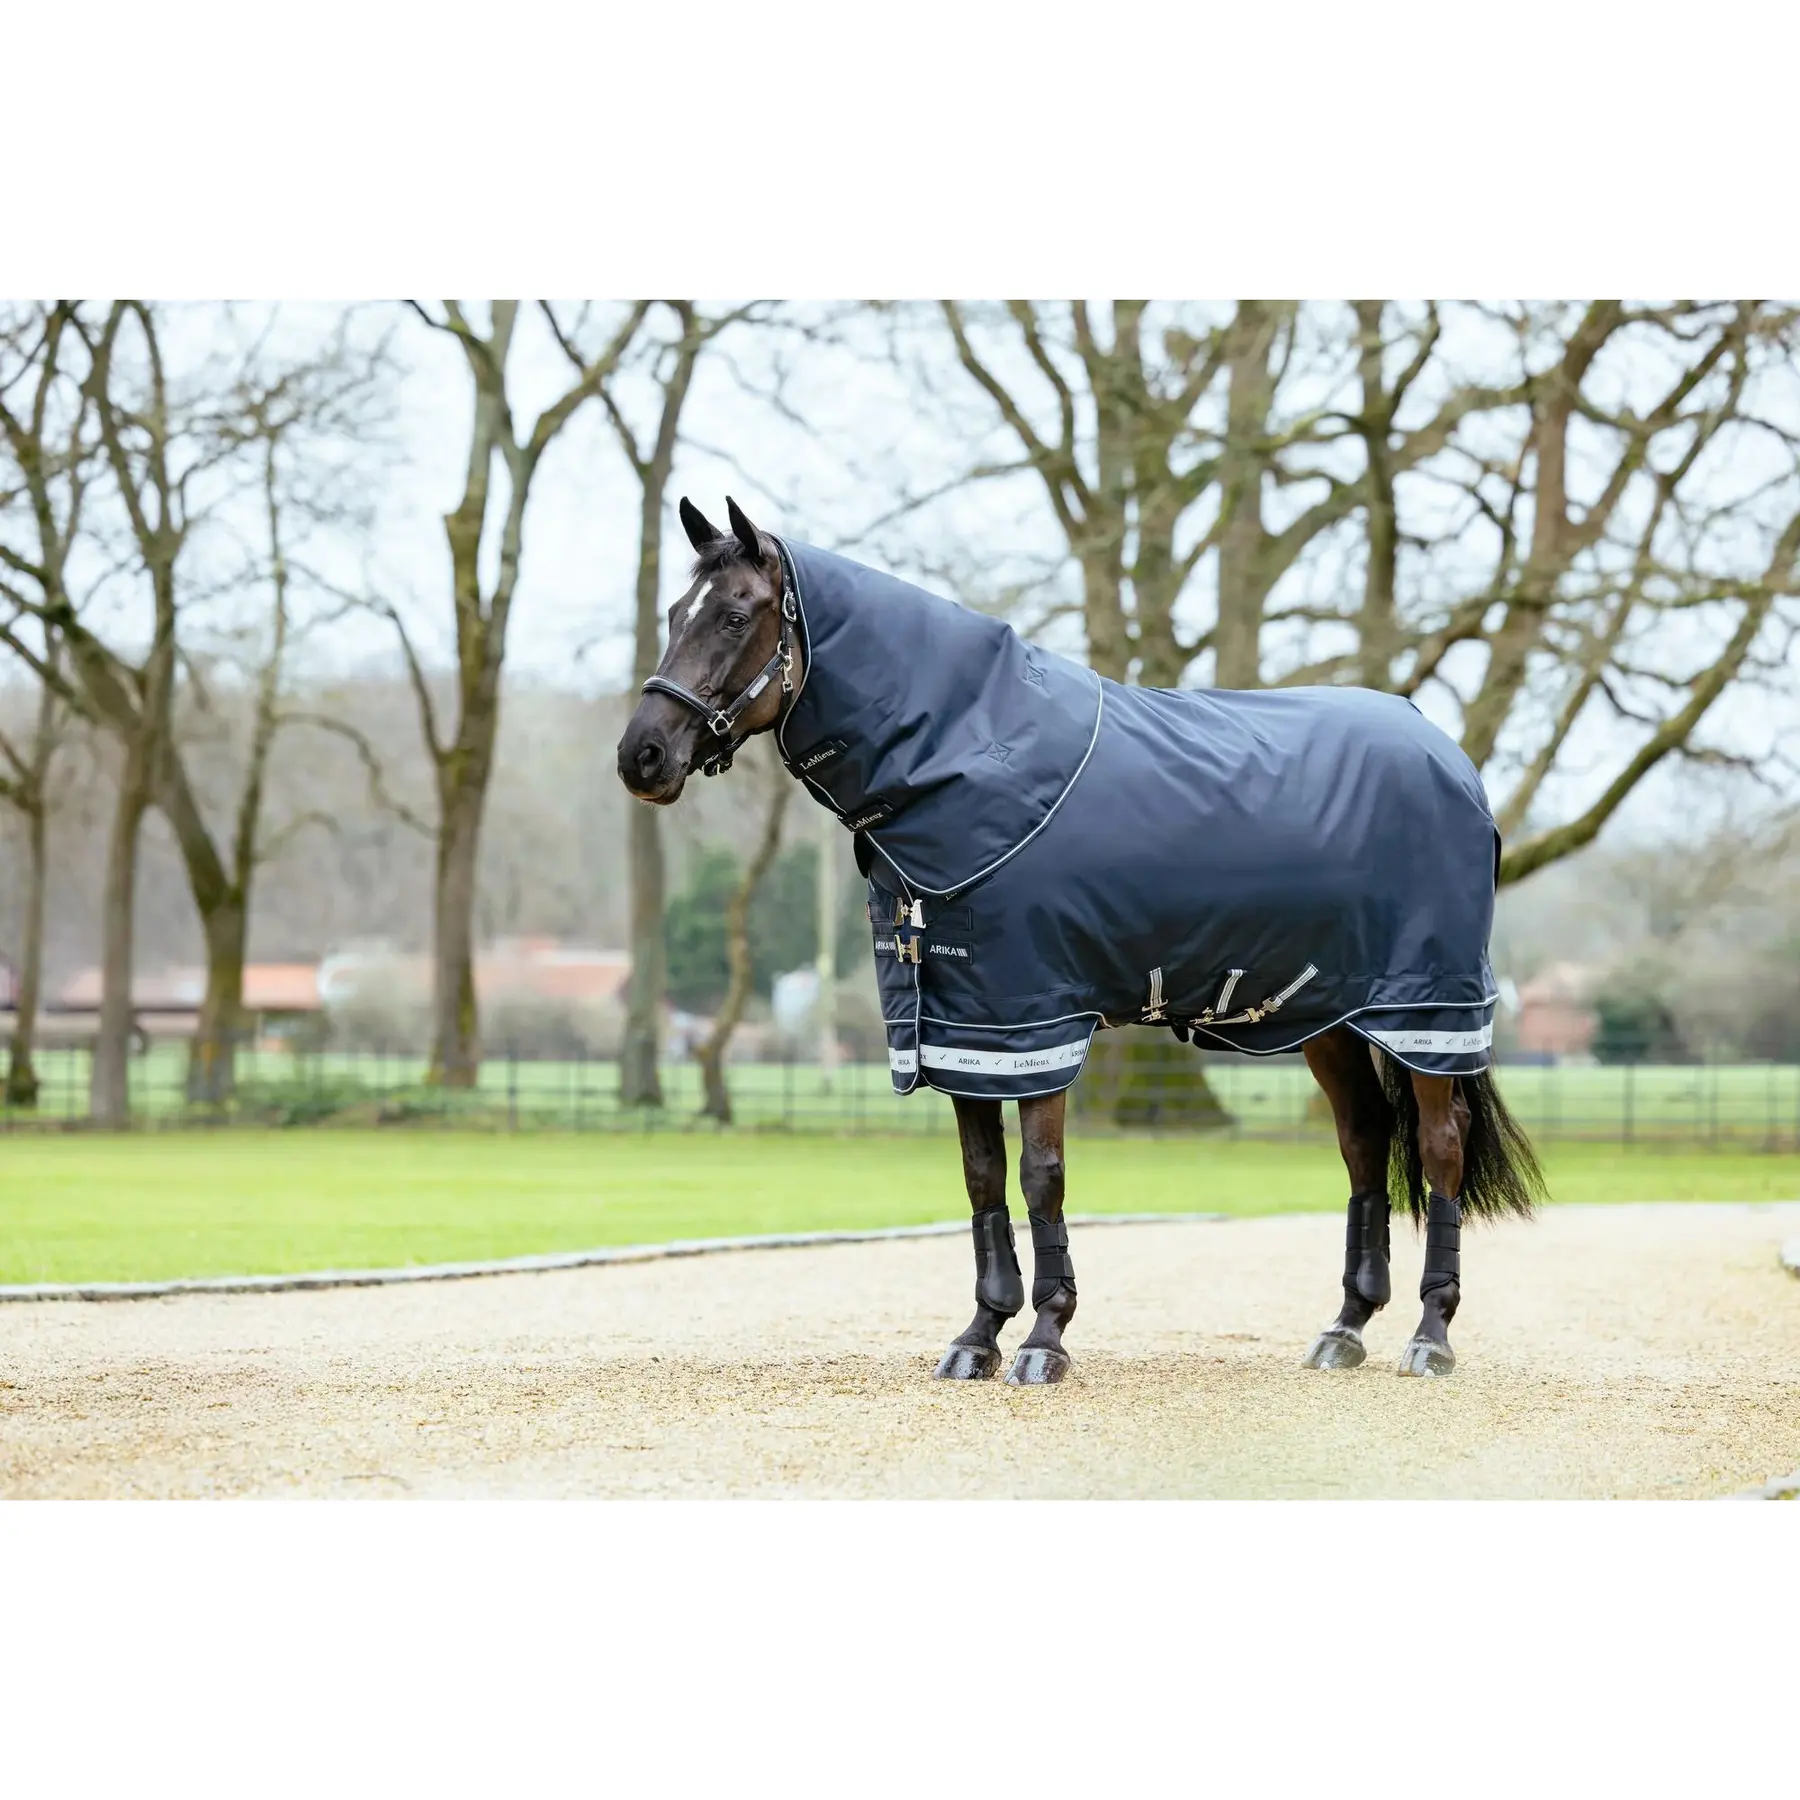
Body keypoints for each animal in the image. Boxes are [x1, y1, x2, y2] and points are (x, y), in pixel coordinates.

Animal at [618, 496, 1545, 1385]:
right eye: (672, 612)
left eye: (734, 615)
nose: (642, 756)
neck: (970, 754)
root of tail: (1447, 755)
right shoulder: (965, 1027)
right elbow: (982, 1177)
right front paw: (978, 1337)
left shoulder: (1034, 1022)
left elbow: (1041, 1175)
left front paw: (1045, 1339)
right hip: (1331, 1019)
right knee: (1363, 1143)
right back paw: (1345, 1328)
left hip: (1427, 1009)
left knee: (1438, 1147)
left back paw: (1430, 1336)